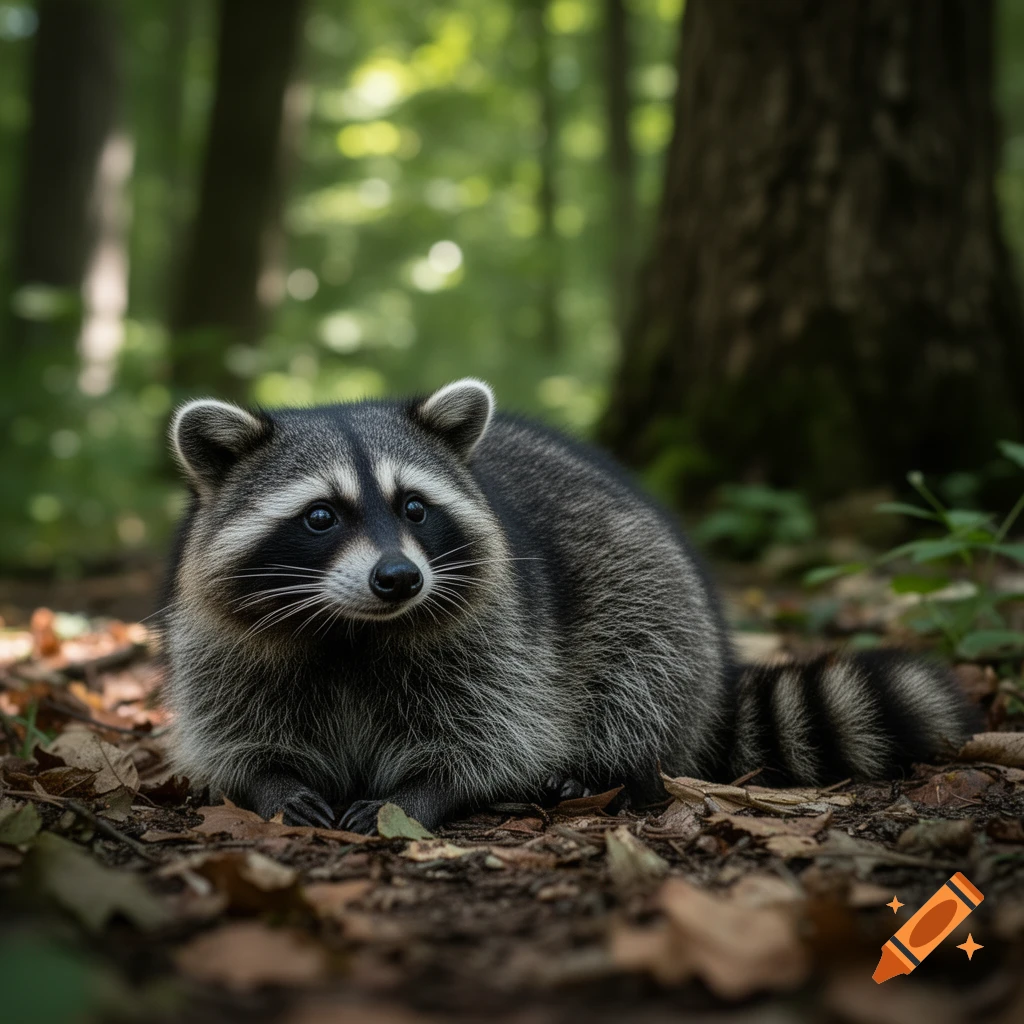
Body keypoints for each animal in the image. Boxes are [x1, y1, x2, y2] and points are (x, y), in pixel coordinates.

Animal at [162, 378, 974, 832]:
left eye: (415, 508)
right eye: (321, 516)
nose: (399, 579)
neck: (354, 630)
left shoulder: (497, 632)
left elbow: (498, 732)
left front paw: (427, 790)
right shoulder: (223, 639)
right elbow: (230, 725)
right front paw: (271, 780)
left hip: (650, 586)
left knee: (640, 674)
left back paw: (607, 768)